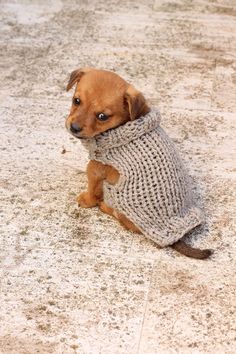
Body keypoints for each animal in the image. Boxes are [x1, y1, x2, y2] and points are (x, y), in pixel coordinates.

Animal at [65, 68, 212, 258]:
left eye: (102, 116)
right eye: (76, 100)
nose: (74, 128)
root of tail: (175, 237)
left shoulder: (95, 168)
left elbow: (92, 189)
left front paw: (87, 200)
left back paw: (104, 205)